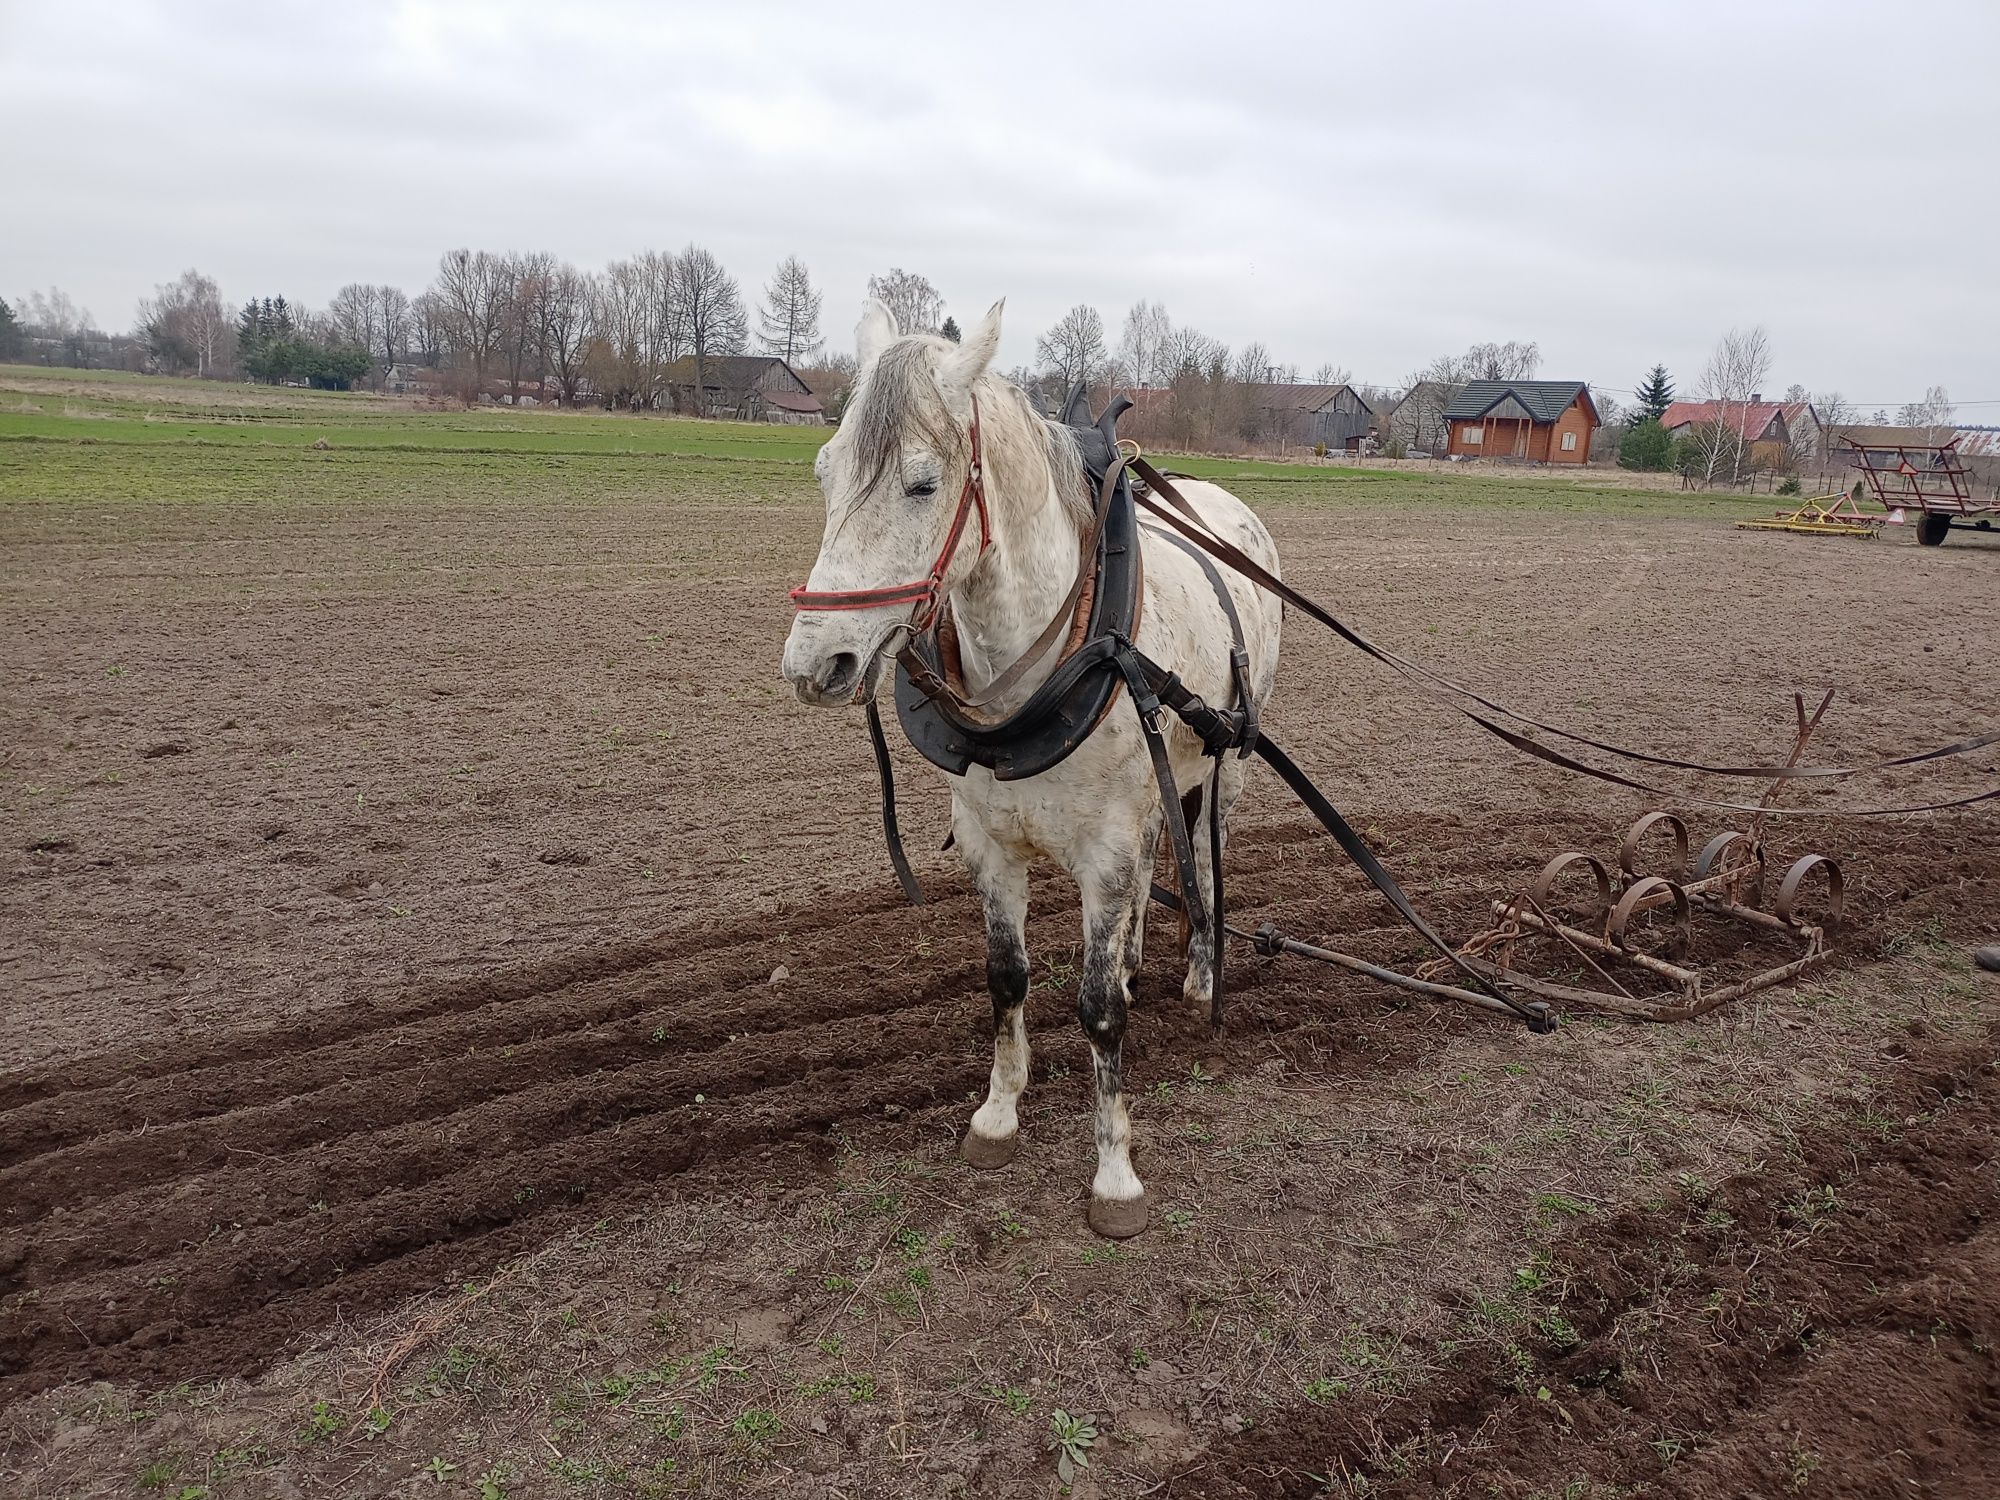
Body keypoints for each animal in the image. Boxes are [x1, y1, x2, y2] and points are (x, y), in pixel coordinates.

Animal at [780, 300, 1280, 1240]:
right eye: (826, 471)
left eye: (921, 484)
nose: (814, 663)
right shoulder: (989, 842)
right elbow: (1007, 978)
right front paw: (998, 1114)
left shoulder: (1106, 850)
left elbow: (1097, 1009)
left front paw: (1114, 1172)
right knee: (1159, 863)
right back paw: (1136, 956)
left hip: (1226, 759)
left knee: (1203, 857)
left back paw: (1201, 970)